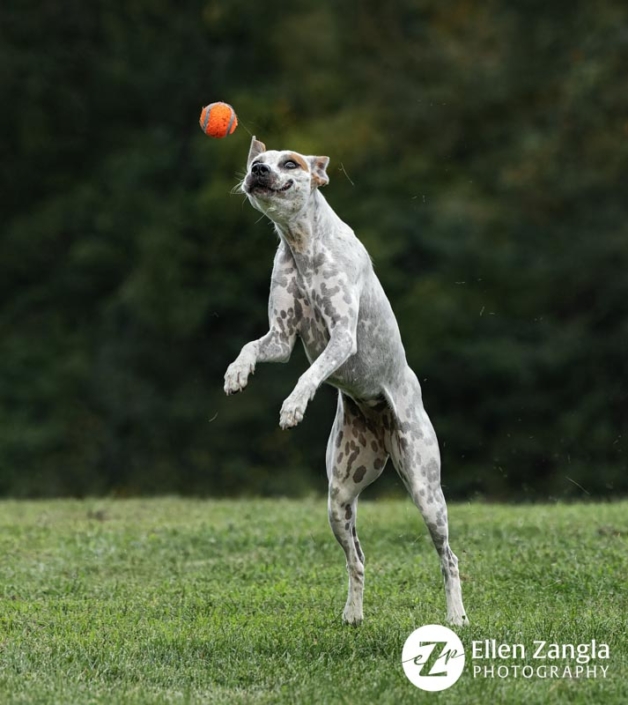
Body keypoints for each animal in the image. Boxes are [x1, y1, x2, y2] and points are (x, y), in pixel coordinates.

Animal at [224, 138, 466, 628]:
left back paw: (456, 617)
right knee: (358, 559)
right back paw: (353, 615)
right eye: (256, 160)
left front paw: (293, 406)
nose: (258, 170)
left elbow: (310, 373)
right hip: (339, 499)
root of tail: (379, 424)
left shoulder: (342, 338)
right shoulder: (280, 338)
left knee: (449, 559)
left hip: (427, 492)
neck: (303, 248)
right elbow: (251, 347)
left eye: (290, 163)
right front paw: (236, 374)